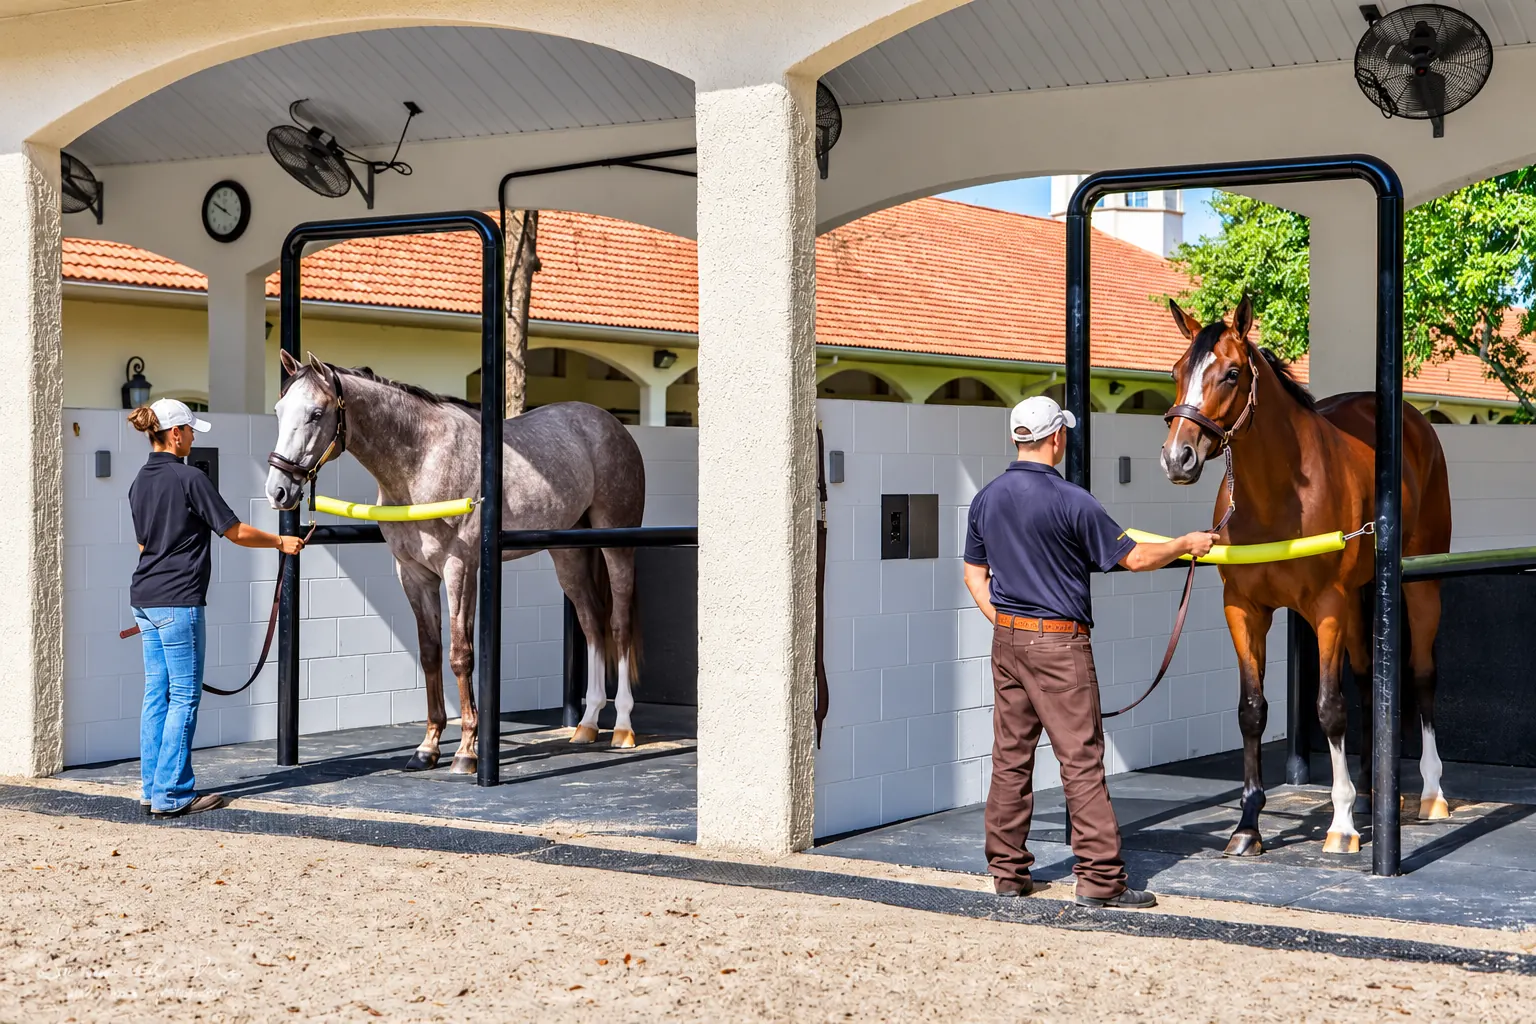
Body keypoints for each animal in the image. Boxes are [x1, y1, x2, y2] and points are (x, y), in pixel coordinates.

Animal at [264, 352, 645, 774]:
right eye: (280, 410)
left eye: (317, 413)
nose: (277, 490)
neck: (423, 460)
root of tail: (610, 424)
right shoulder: (413, 574)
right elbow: (430, 652)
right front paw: (427, 747)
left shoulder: (458, 569)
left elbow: (461, 655)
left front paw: (466, 751)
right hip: (569, 553)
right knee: (592, 622)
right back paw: (588, 723)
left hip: (617, 545)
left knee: (619, 623)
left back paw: (623, 727)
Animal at [1160, 296, 1453, 856]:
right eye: (1177, 370)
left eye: (1232, 373)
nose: (1177, 457)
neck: (1277, 497)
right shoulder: (1243, 610)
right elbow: (1252, 709)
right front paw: (1247, 827)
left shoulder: (1327, 607)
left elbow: (1330, 708)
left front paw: (1341, 826)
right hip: (1362, 596)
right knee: (1367, 677)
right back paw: (1370, 792)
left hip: (1419, 587)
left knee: (1424, 675)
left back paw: (1430, 794)